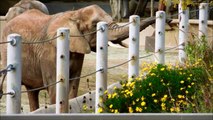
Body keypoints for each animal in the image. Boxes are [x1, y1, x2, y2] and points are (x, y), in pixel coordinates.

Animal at [0, 4, 160, 111]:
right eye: (95, 25)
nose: (159, 14)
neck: (75, 13)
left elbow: (73, 83)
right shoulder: (49, 52)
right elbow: (54, 86)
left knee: (32, 90)